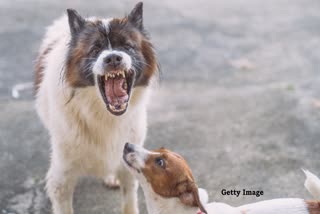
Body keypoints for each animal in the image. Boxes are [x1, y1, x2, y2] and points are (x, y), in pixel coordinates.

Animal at [34, 2, 158, 214]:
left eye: (127, 46)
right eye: (95, 50)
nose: (113, 58)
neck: (102, 114)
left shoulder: (128, 163)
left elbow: (129, 201)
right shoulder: (61, 179)